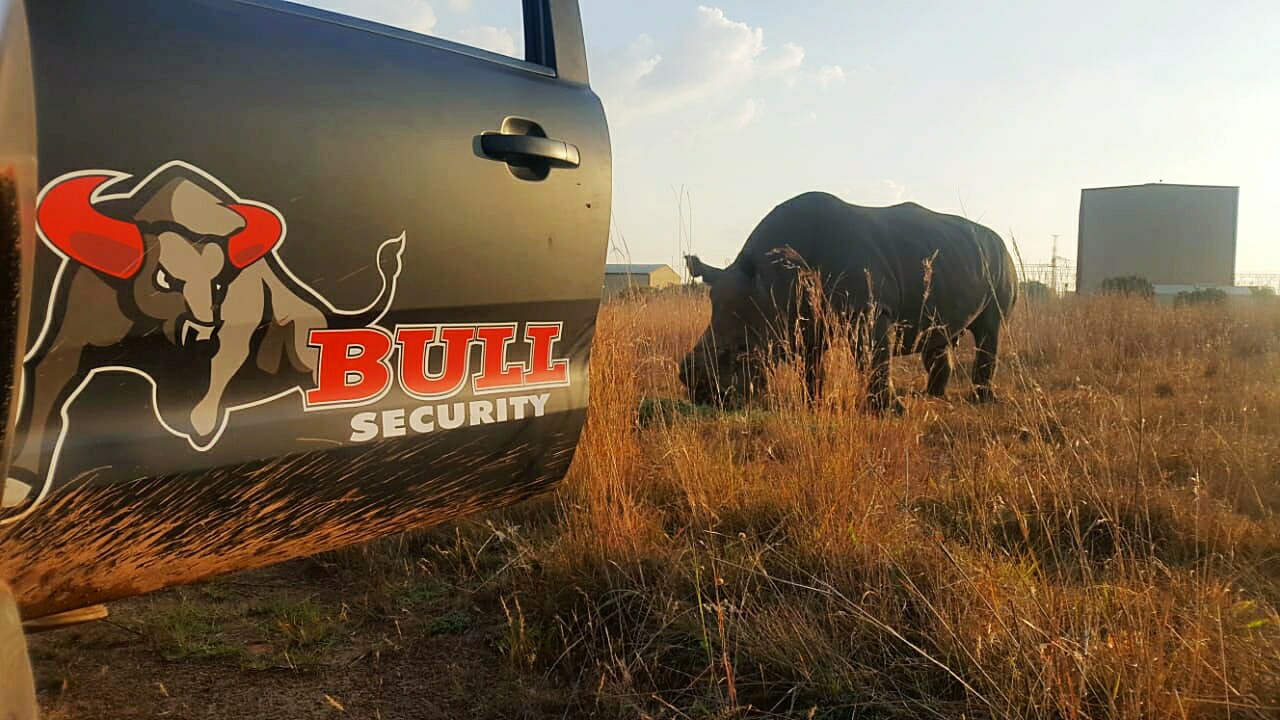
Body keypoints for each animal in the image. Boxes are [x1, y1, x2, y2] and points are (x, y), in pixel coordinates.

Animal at [3, 162, 404, 512]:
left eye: (220, 283)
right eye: (164, 278)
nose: (203, 328)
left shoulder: (236, 333)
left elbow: (215, 380)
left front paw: (199, 424)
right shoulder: (66, 340)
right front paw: (19, 480)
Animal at [679, 191, 1018, 412]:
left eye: (740, 349)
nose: (702, 394)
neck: (775, 278)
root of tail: (998, 238)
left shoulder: (869, 309)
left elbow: (873, 359)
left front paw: (889, 411)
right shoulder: (805, 319)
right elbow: (812, 367)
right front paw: (813, 405)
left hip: (1001, 258)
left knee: (990, 329)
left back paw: (980, 399)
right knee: (940, 336)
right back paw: (933, 396)